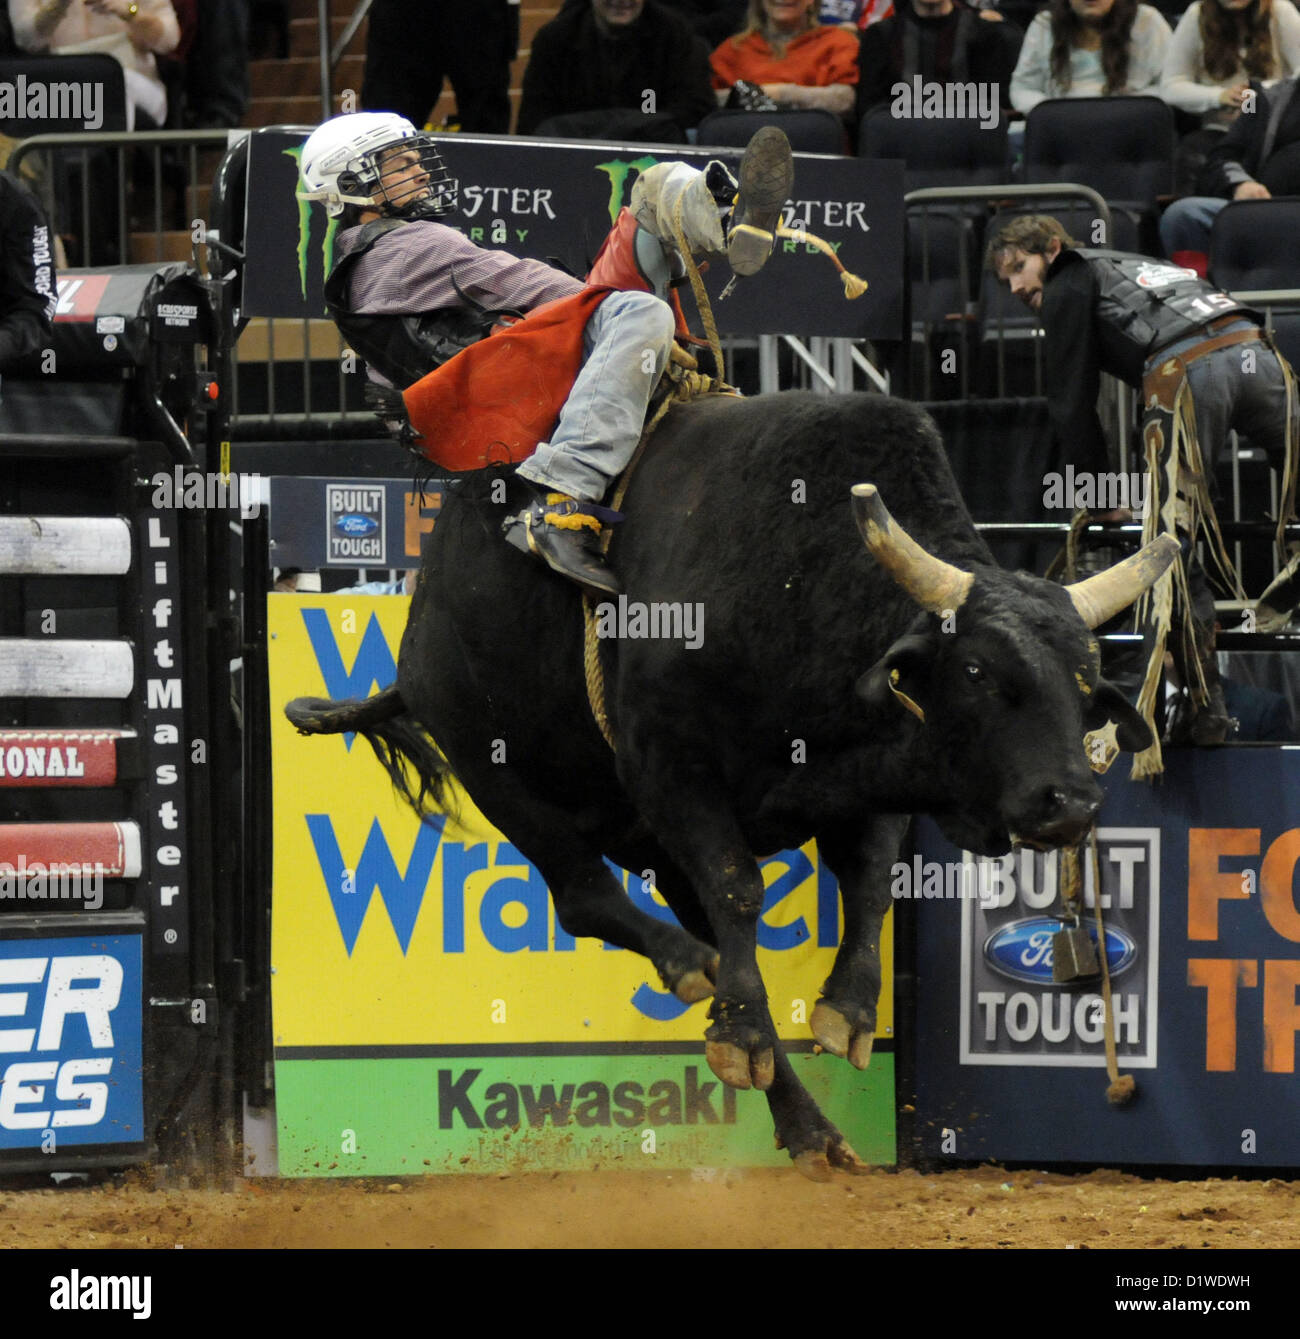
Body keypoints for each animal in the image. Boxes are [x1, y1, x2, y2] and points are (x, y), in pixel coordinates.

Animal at [287, 390, 1178, 1178]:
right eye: (978, 671)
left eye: (1089, 680)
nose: (1072, 802)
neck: (796, 577)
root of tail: (420, 618)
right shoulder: (669, 764)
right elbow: (741, 887)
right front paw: (743, 1031)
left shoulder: (872, 778)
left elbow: (868, 884)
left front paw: (847, 1013)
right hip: (495, 770)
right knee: (590, 898)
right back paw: (692, 968)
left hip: (641, 837)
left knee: (693, 923)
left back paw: (810, 1128)